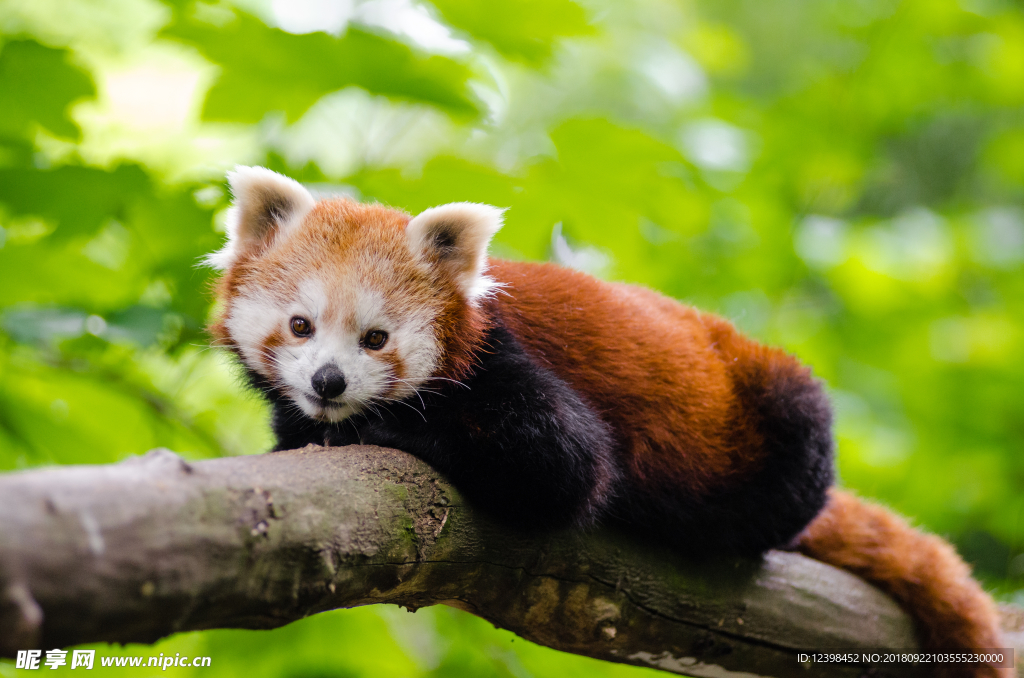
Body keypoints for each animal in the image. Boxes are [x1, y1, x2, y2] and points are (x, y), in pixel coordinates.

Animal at [205, 165, 1007, 678]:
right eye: (301, 326)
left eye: (375, 338)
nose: (329, 383)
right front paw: (304, 429)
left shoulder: (507, 366)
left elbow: (566, 468)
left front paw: (377, 428)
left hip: (778, 411)